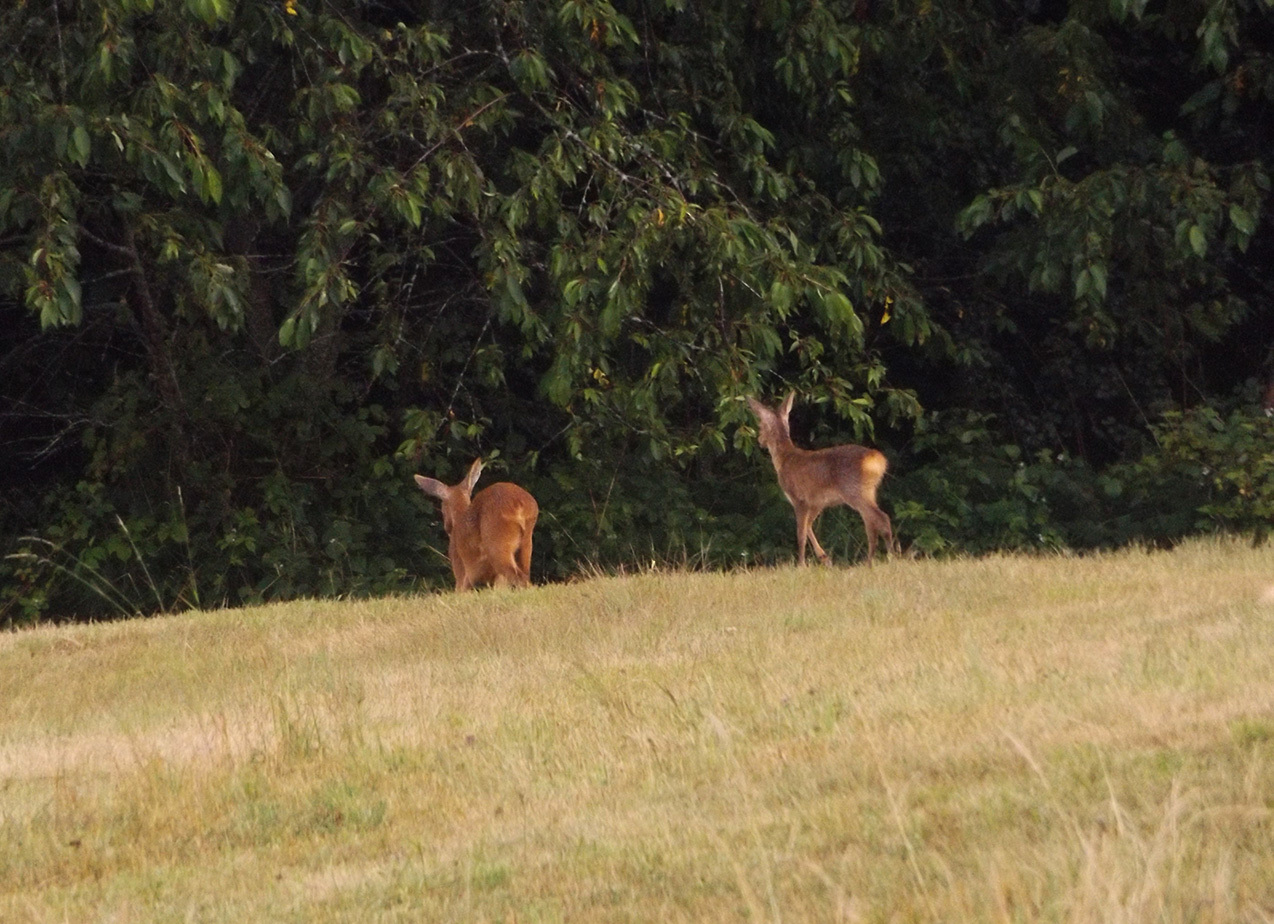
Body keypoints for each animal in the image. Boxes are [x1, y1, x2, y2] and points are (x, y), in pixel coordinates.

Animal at [412, 456, 537, 591]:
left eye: (442, 507)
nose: (447, 526)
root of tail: (519, 505)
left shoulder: (460, 570)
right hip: (526, 543)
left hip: (496, 543)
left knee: (520, 578)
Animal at [744, 389, 896, 563]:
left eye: (761, 426)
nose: (759, 440)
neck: (785, 458)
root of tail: (877, 460)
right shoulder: (817, 501)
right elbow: (809, 526)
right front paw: (824, 557)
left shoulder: (799, 498)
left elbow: (800, 534)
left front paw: (801, 564)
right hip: (868, 491)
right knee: (871, 525)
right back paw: (872, 561)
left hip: (854, 490)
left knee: (882, 519)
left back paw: (889, 558)